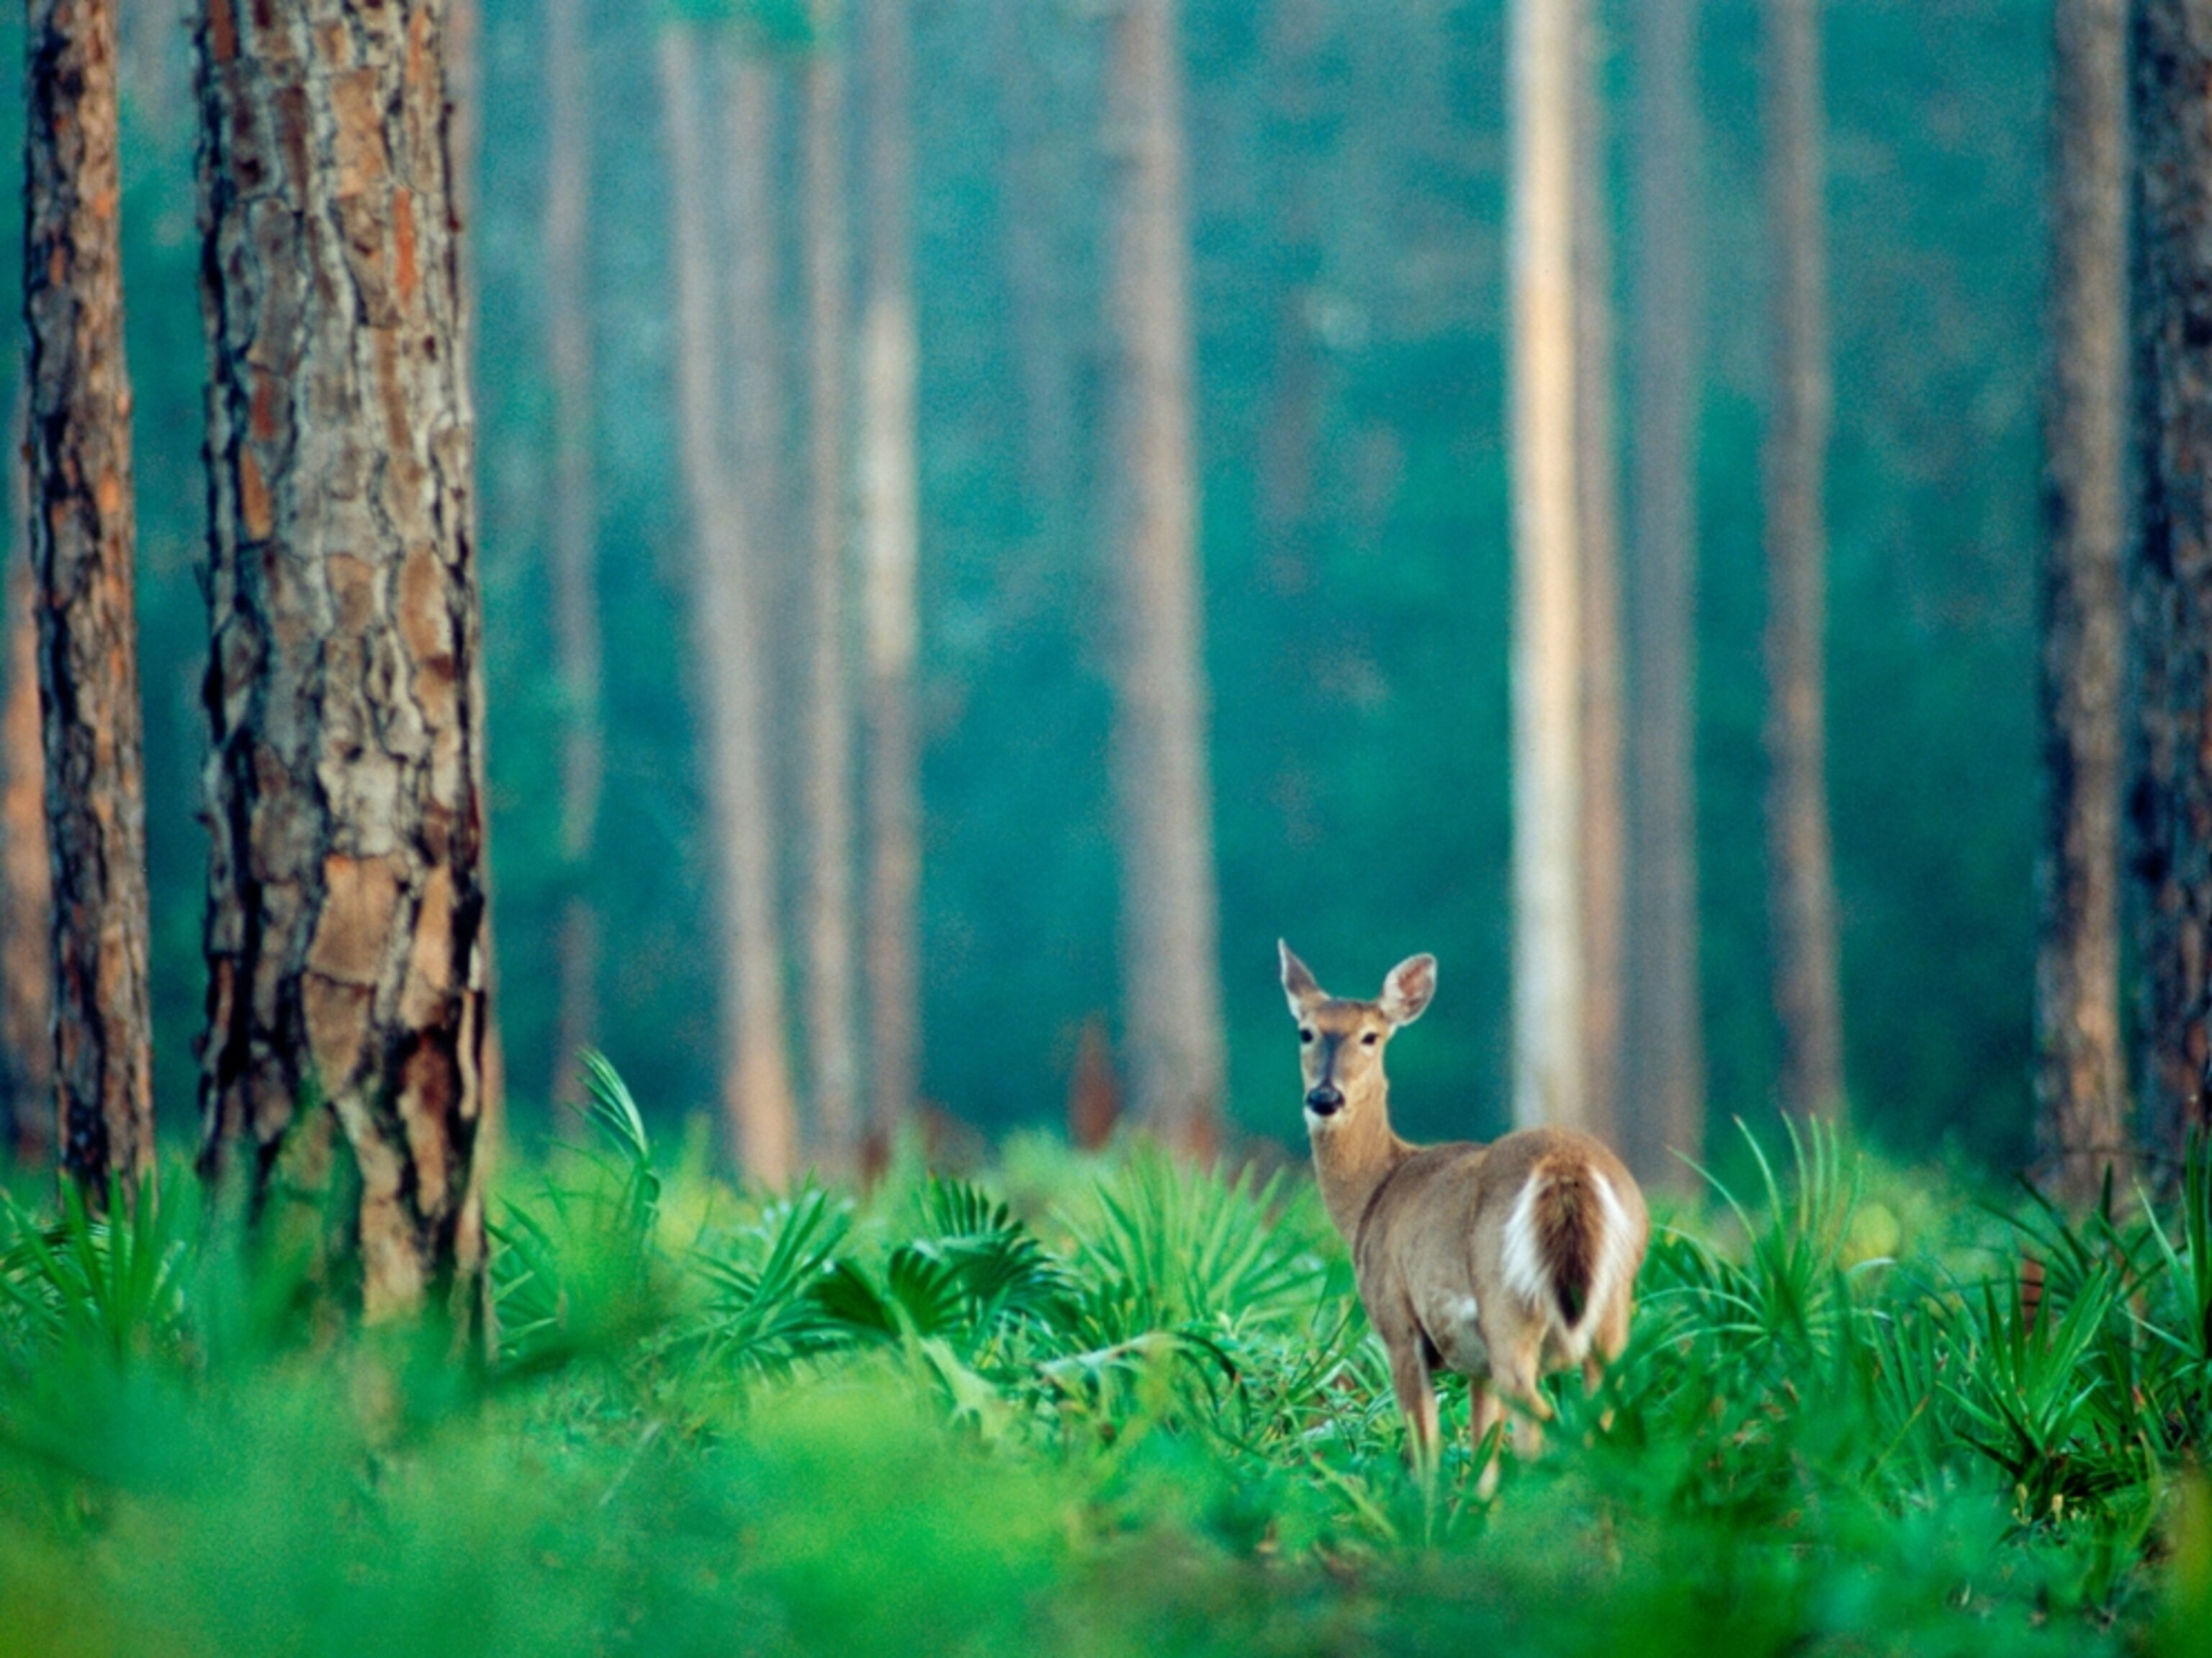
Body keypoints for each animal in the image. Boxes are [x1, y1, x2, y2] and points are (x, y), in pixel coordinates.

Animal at [1279, 942, 1648, 1494]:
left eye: (1371, 1036)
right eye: (1306, 1031)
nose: (1325, 1097)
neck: (1375, 1192)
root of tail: (1567, 1167)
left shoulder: (1398, 1324)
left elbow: (1428, 1451)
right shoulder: (1476, 1366)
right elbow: (1481, 1457)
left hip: (1508, 1299)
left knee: (1541, 1419)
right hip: (1613, 1306)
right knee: (1603, 1425)